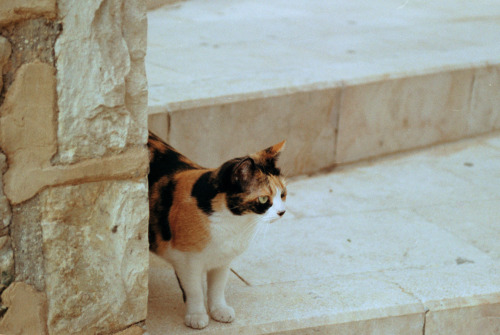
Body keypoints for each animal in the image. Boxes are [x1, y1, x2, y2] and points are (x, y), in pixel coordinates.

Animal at [146, 132, 288, 330]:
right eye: (263, 199)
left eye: (282, 194)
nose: (282, 212)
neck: (233, 223)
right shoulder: (186, 262)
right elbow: (195, 290)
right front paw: (197, 316)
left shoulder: (223, 259)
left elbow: (217, 287)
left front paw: (219, 311)